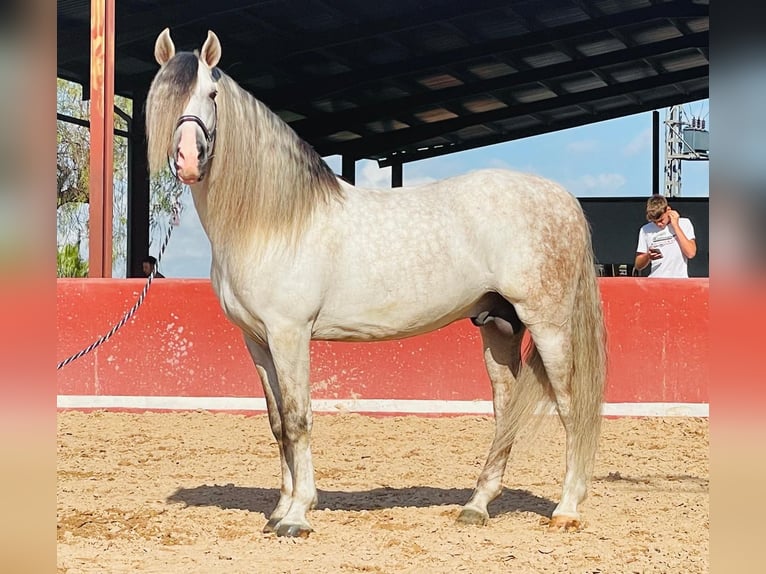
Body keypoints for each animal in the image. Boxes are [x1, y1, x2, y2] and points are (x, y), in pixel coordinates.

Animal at [147, 27, 608, 540]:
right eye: (162, 95)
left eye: (211, 93)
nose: (188, 159)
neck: (275, 222)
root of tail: (561, 197)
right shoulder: (257, 340)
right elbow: (278, 423)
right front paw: (279, 509)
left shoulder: (290, 334)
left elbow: (299, 418)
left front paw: (297, 515)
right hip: (498, 326)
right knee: (505, 408)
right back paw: (476, 505)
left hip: (549, 327)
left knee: (570, 405)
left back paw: (566, 508)